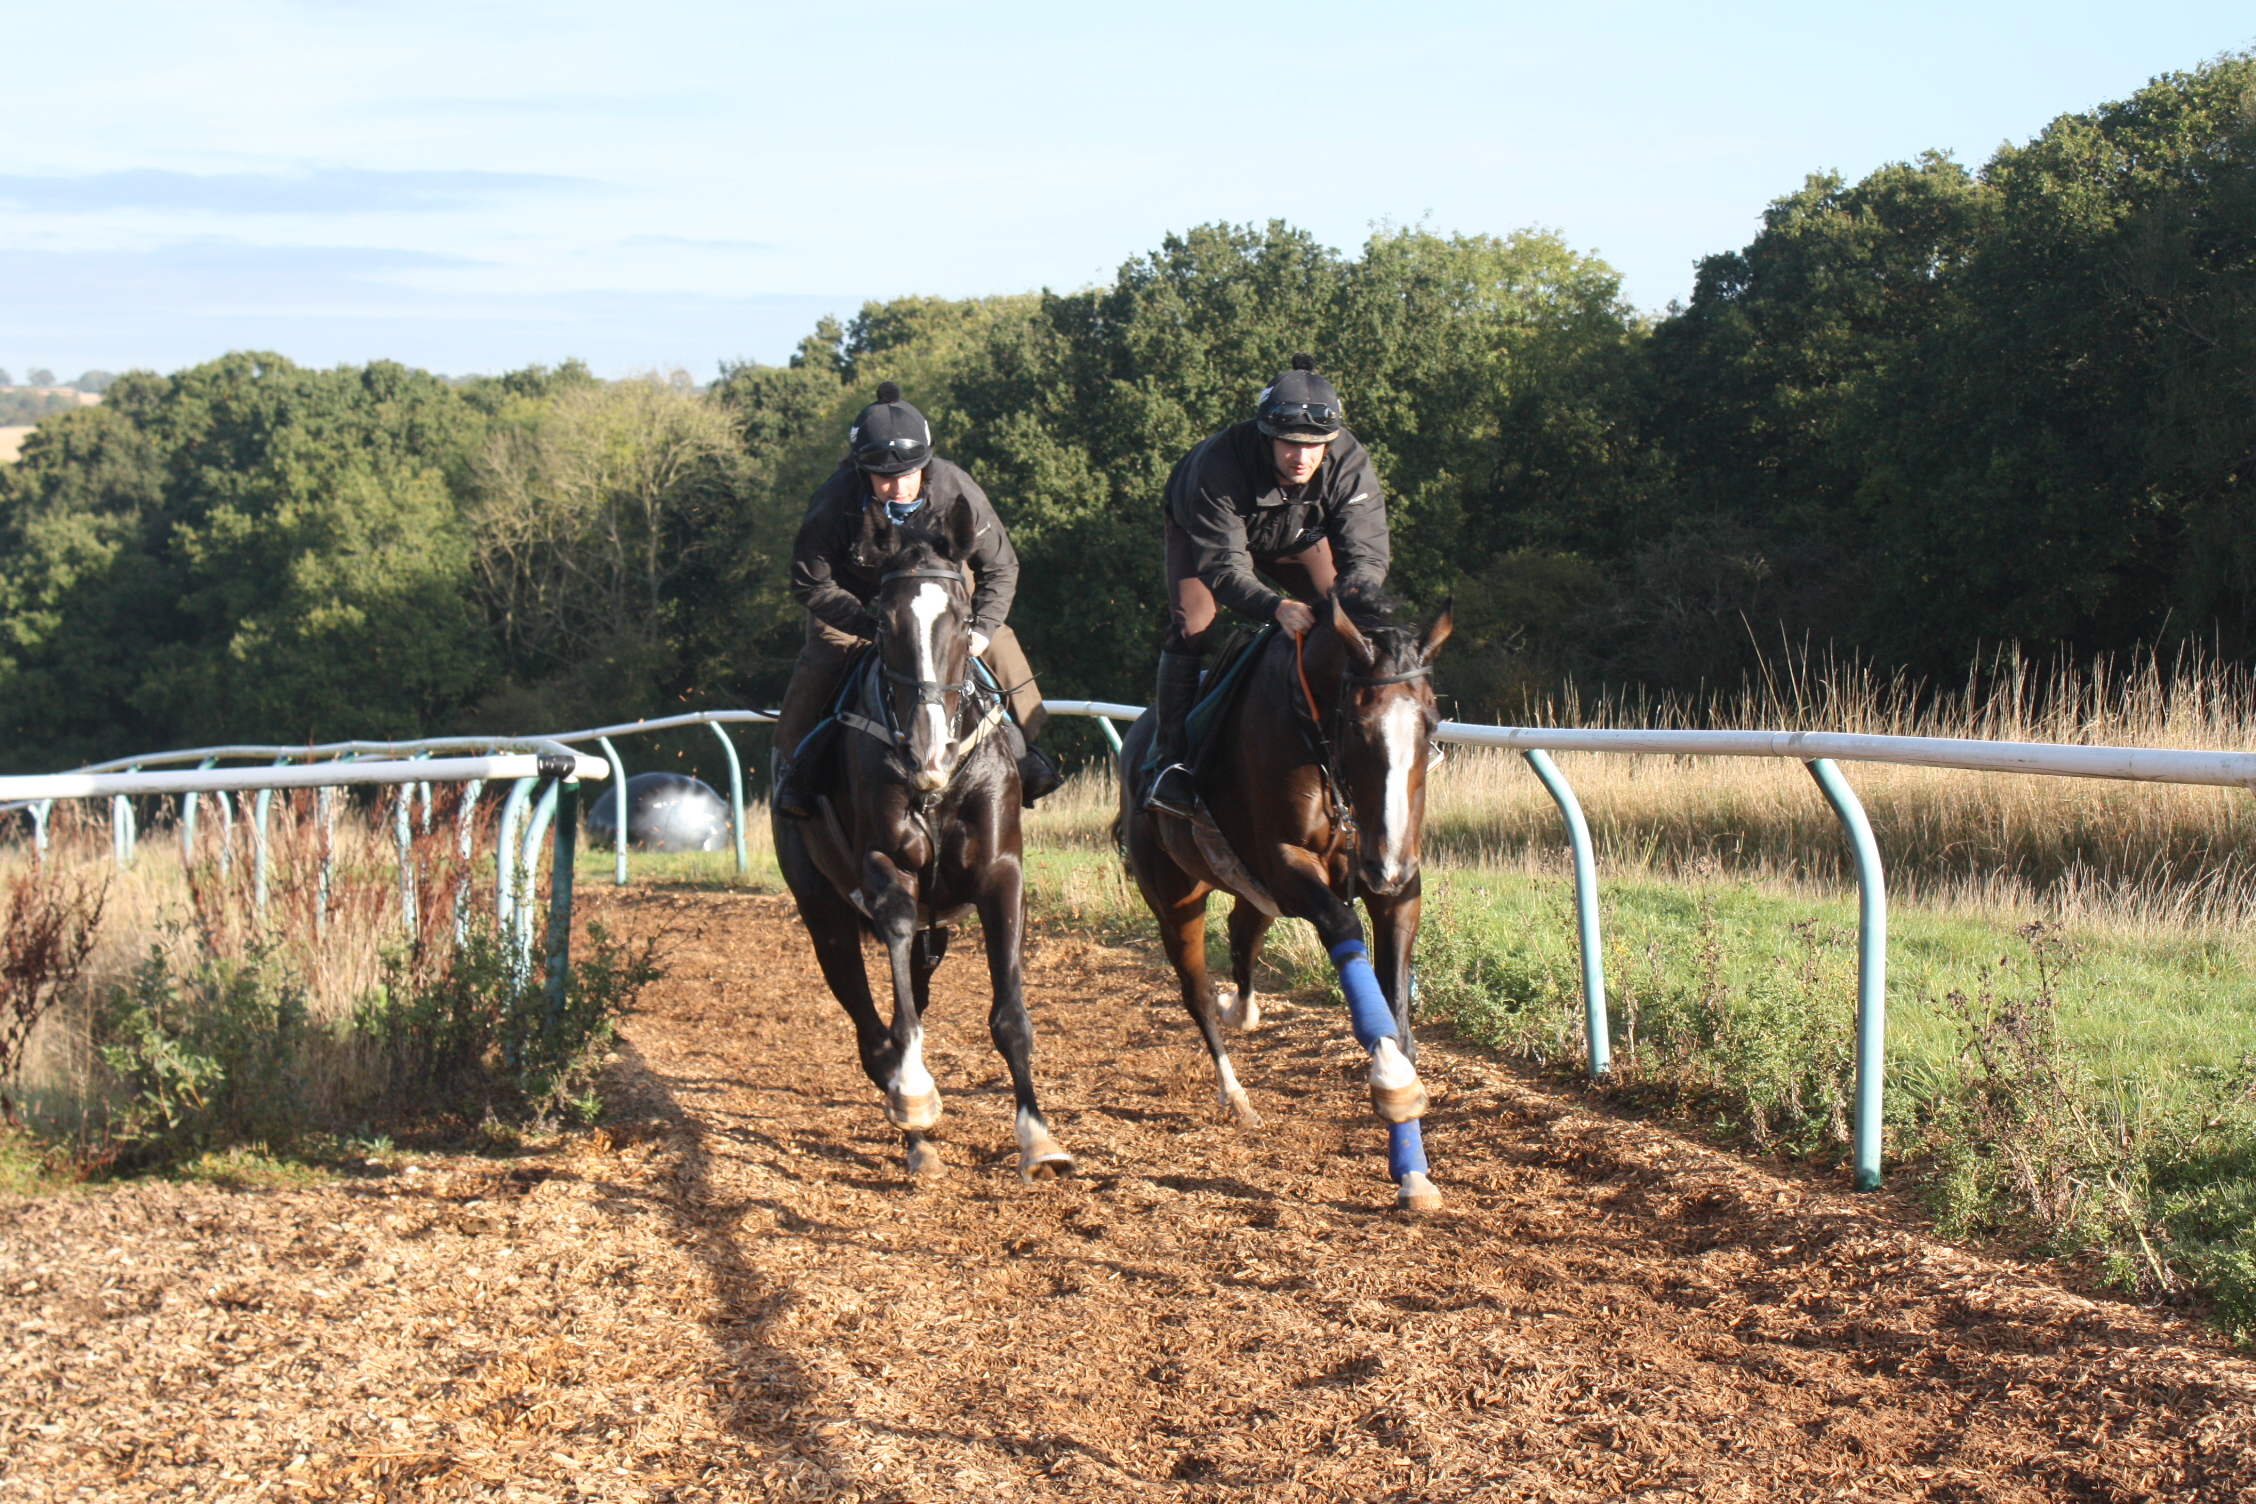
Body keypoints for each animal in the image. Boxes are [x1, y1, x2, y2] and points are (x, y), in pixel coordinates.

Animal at [776, 505, 1073, 1190]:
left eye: (962, 620)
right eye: (884, 623)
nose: (928, 751)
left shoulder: (1000, 873)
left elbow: (1011, 1016)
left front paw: (1038, 1139)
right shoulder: (884, 871)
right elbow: (898, 1005)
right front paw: (912, 1091)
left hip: (930, 936)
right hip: (823, 915)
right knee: (870, 1030)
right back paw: (911, 1127)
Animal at [1118, 586, 1452, 1208]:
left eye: (1431, 722)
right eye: (1357, 724)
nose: (1386, 866)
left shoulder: (1398, 885)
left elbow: (1398, 1015)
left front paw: (1413, 1170)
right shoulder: (1287, 865)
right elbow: (1345, 931)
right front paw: (1391, 1080)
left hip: (1253, 885)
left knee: (1243, 934)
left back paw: (1244, 1009)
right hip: (1174, 896)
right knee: (1197, 993)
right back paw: (1235, 1094)